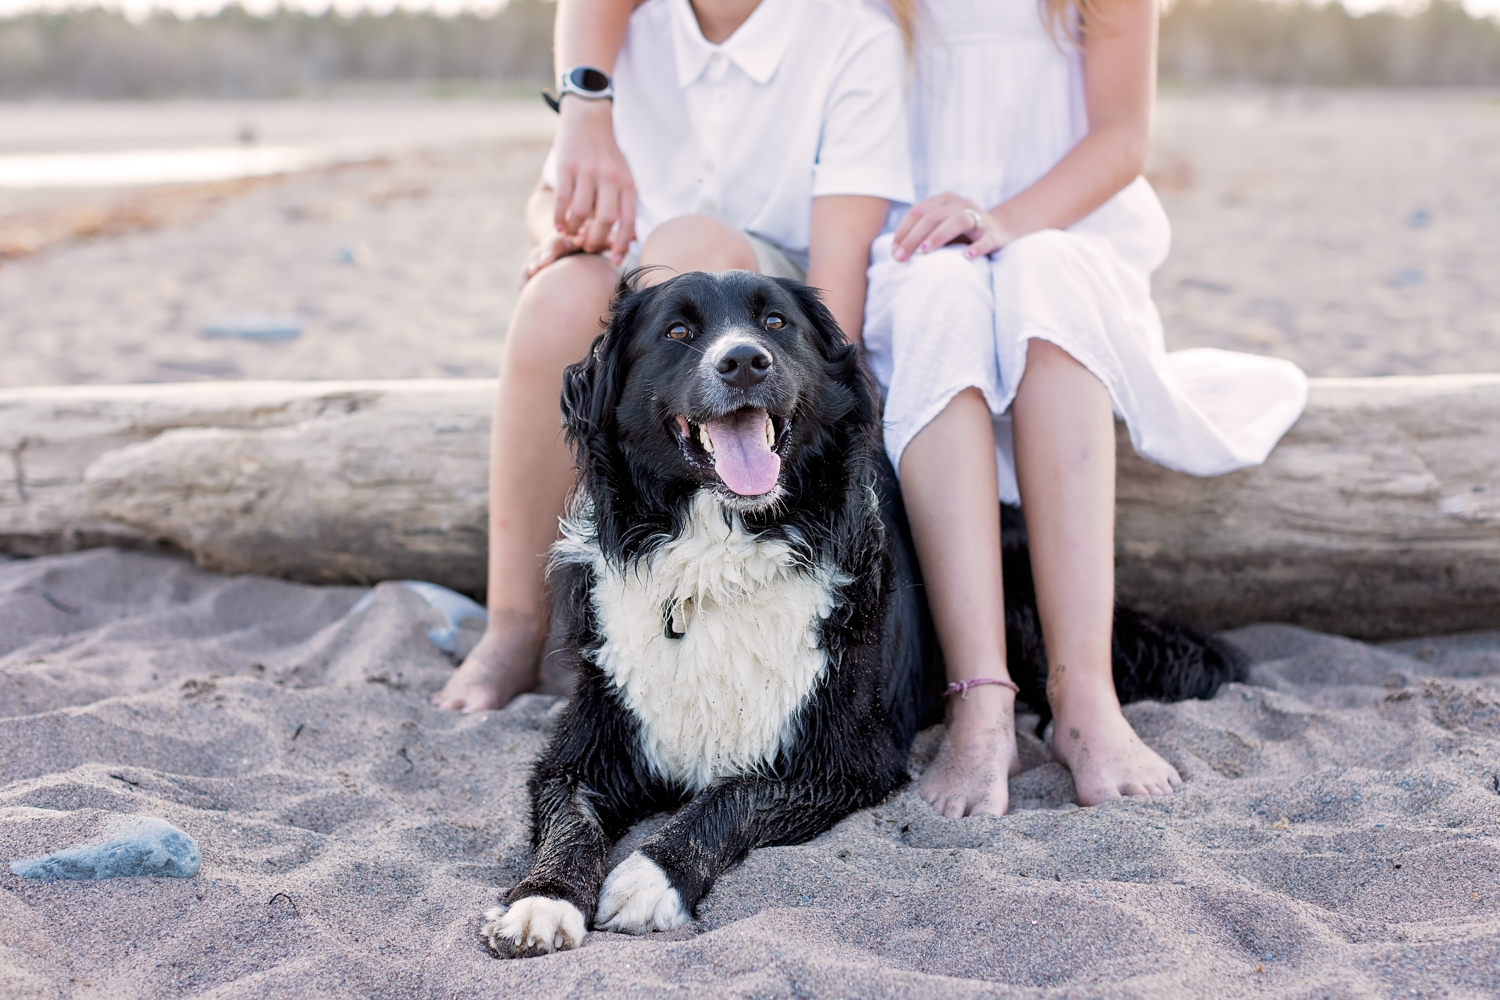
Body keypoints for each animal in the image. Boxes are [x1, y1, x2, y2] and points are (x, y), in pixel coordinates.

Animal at [480, 269, 1242, 959]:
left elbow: (732, 798)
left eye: (776, 323)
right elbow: (571, 823)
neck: (719, 555)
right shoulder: (582, 749)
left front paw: (651, 878)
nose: (745, 361)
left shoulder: (845, 758)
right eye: (676, 332)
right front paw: (541, 901)